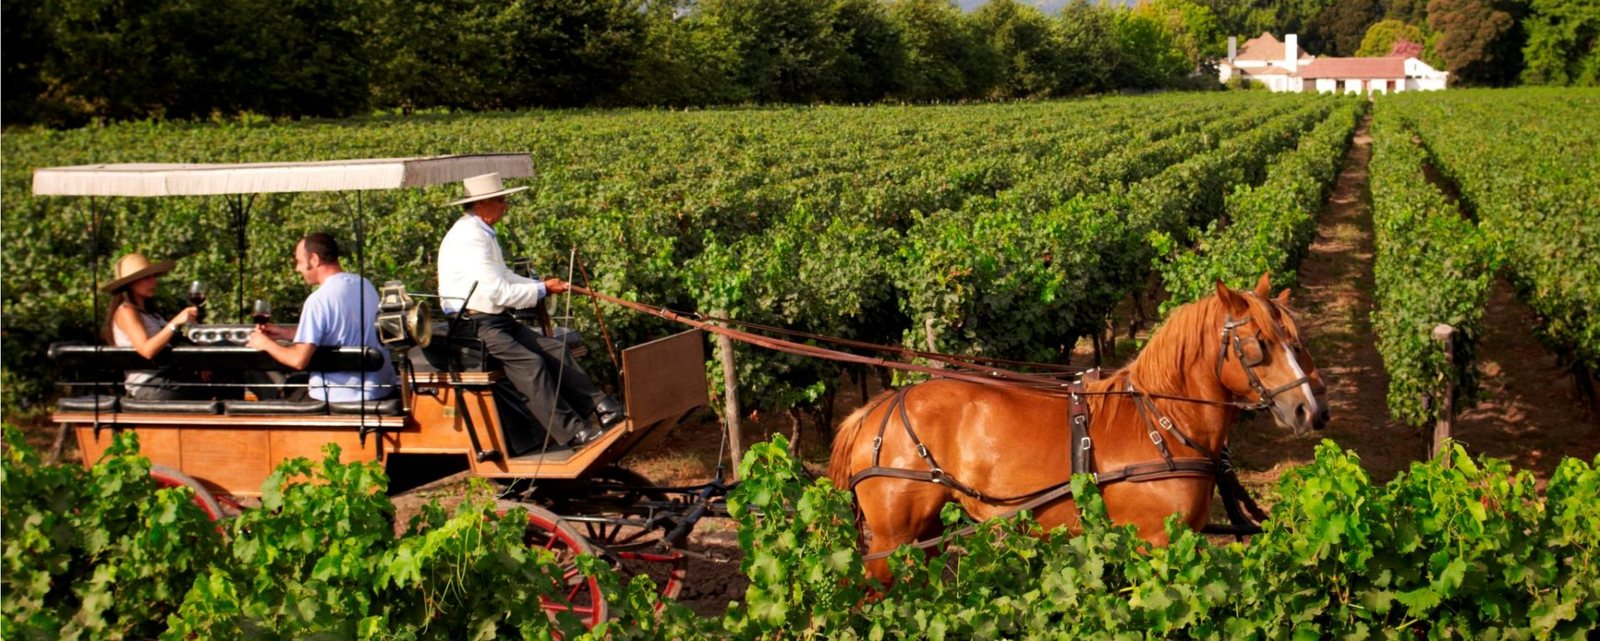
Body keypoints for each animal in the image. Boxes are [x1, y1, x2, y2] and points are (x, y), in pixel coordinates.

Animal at [828, 274, 1329, 583]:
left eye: (1296, 340)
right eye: (1257, 345)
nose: (1312, 410)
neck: (1163, 424)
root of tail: (874, 411)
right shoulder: (1156, 542)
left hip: (923, 534)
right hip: (892, 541)